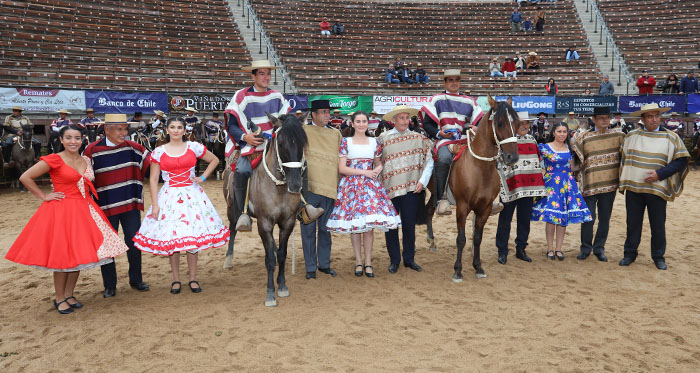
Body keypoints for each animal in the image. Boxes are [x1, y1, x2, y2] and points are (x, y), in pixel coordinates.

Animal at [223, 112, 308, 306]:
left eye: (303, 142)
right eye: (281, 143)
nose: (295, 184)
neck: (279, 188)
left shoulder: (287, 222)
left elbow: (282, 254)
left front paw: (282, 286)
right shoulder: (265, 223)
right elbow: (269, 259)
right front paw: (270, 293)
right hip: (232, 209)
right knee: (232, 229)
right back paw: (228, 259)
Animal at [448, 95, 520, 280]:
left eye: (517, 123)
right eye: (500, 123)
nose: (512, 157)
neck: (479, 168)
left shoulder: (485, 208)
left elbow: (477, 238)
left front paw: (478, 267)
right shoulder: (462, 206)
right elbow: (461, 239)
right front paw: (457, 270)